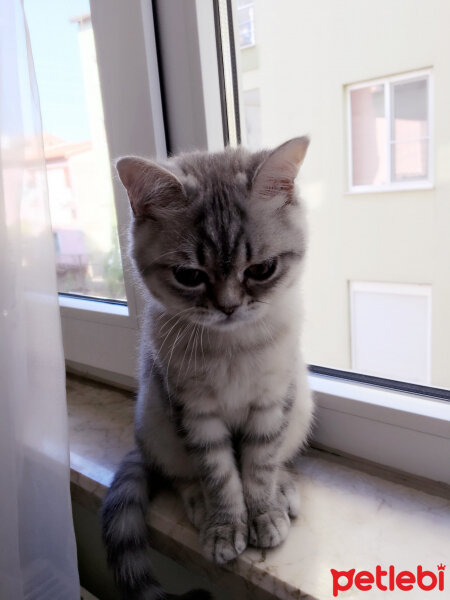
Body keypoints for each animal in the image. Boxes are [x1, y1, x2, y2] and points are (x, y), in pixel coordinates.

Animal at [100, 138, 314, 596]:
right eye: (189, 275)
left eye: (261, 270)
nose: (229, 307)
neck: (231, 347)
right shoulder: (194, 412)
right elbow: (218, 473)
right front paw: (225, 526)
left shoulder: (272, 403)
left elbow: (259, 464)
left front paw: (263, 511)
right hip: (156, 419)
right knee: (179, 474)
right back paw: (199, 502)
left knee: (279, 459)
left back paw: (283, 489)